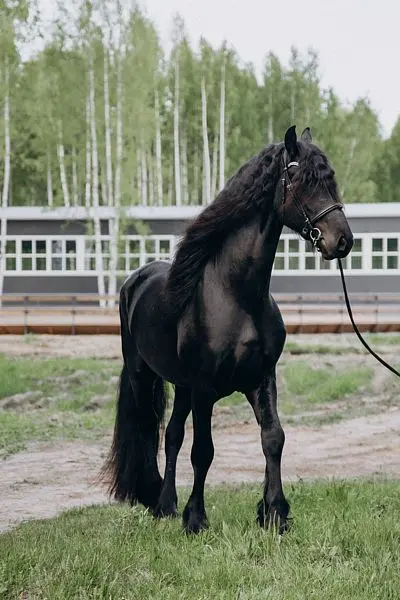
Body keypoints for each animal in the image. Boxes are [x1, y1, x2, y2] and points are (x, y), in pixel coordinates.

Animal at [103, 125, 354, 534]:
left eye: (330, 179)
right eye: (303, 181)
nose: (343, 241)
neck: (237, 295)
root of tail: (133, 281)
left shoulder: (261, 378)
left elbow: (273, 438)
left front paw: (274, 512)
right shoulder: (205, 387)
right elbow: (203, 451)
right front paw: (196, 518)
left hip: (182, 387)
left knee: (172, 436)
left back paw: (166, 504)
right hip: (145, 376)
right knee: (148, 430)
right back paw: (154, 498)